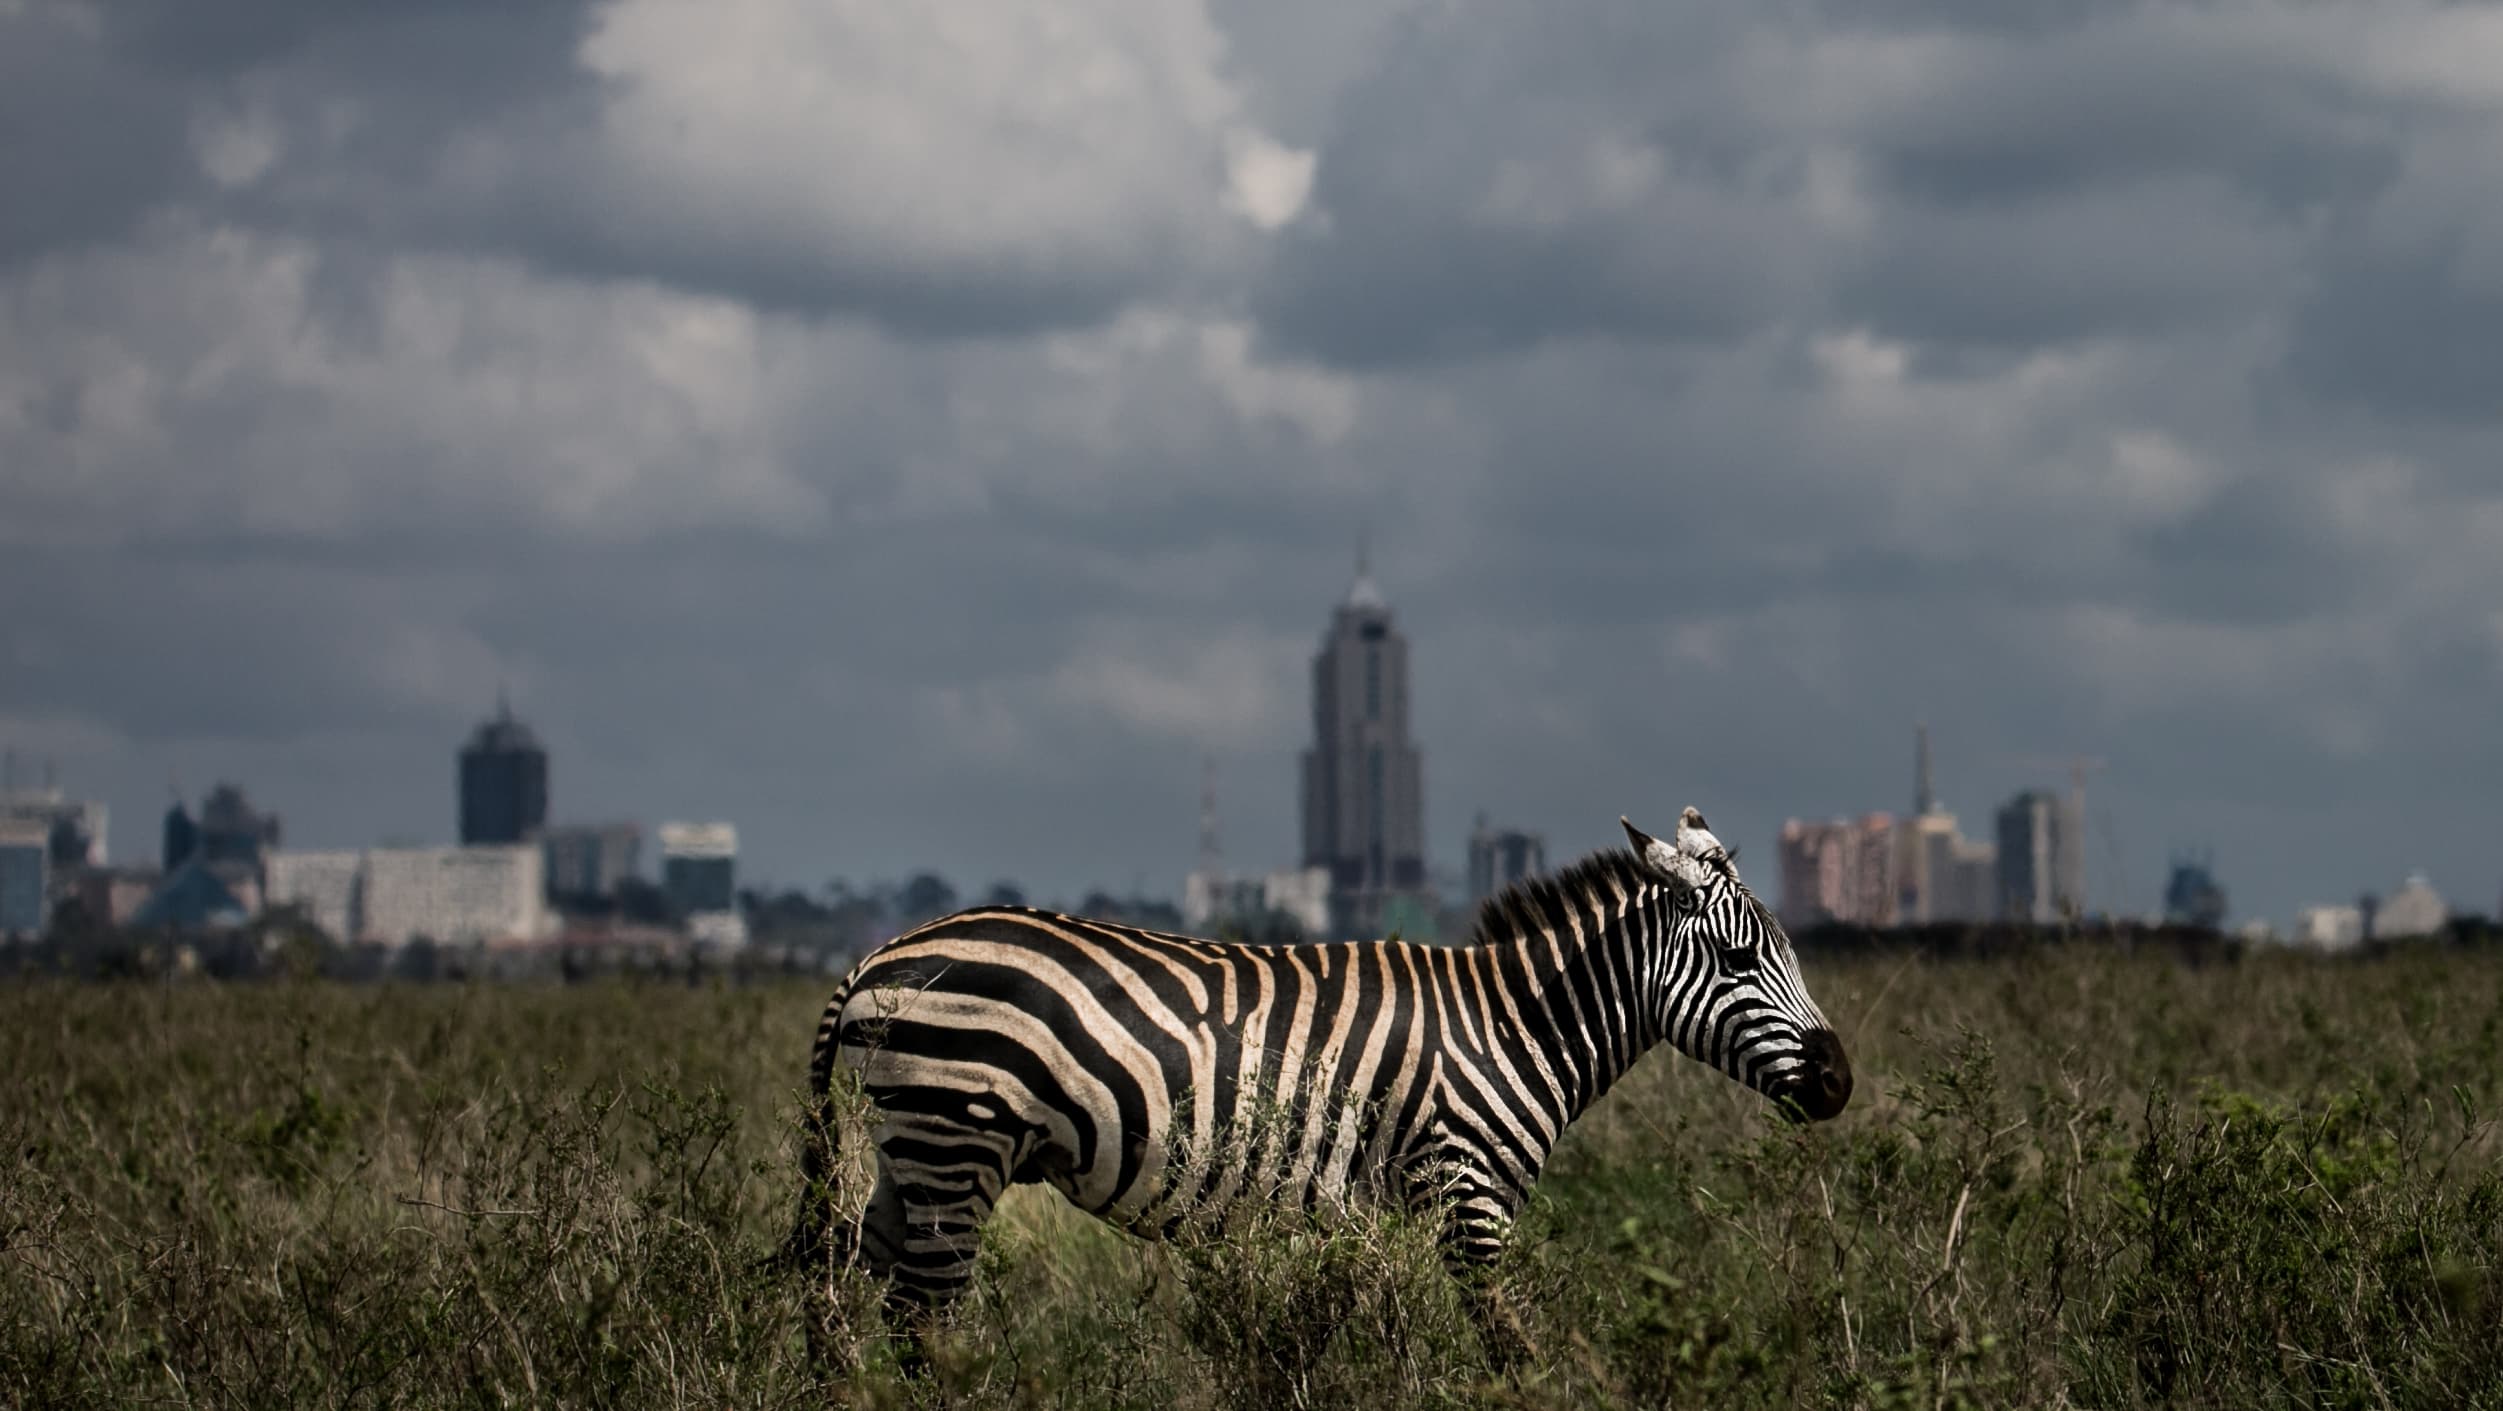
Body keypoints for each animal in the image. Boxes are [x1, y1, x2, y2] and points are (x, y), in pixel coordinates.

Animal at [778, 805, 1852, 1326]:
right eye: (1739, 959)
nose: (1839, 1080)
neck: (1511, 1024)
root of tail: (879, 955)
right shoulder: (1468, 1200)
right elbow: (1508, 1344)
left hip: (908, 1154)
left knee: (861, 1299)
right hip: (953, 1143)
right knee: (924, 1320)